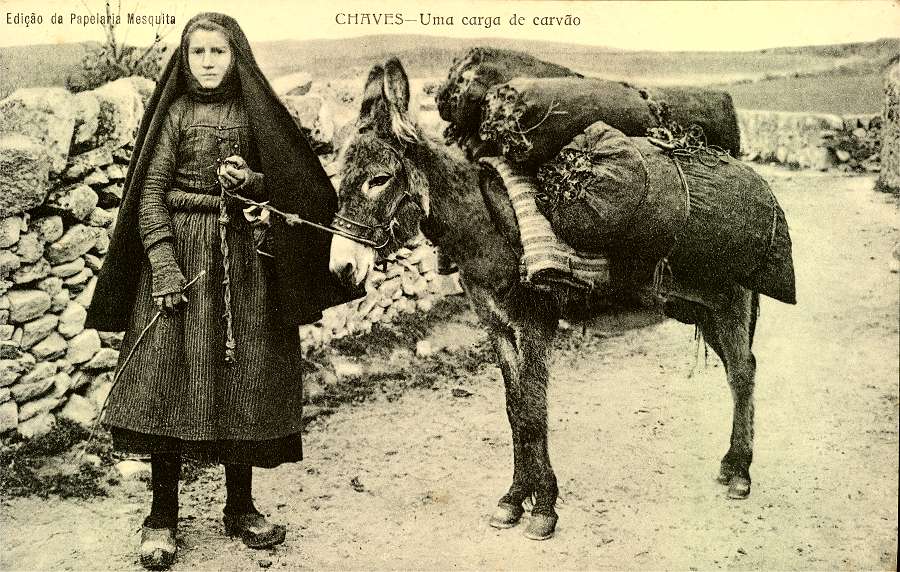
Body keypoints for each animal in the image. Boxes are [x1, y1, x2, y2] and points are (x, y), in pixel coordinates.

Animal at [328, 57, 760, 541]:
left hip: (730, 304)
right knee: (738, 370)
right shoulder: (498, 327)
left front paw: (544, 508)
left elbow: (535, 412)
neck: (488, 225)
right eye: (339, 178)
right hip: (701, 310)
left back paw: (740, 474)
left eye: (379, 180)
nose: (342, 269)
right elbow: (515, 412)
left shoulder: (535, 324)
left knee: (742, 373)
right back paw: (730, 466)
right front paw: (513, 499)